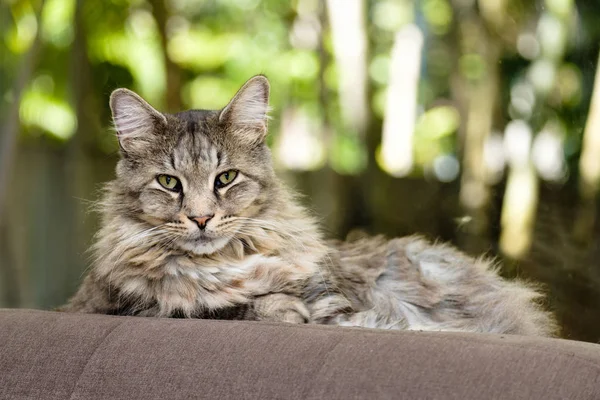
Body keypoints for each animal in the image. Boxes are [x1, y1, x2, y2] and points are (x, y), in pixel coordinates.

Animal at [61, 76, 556, 338]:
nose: (201, 218)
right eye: (168, 182)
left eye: (225, 179)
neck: (223, 263)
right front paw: (275, 308)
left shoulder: (338, 302)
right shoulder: (116, 307)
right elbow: (208, 307)